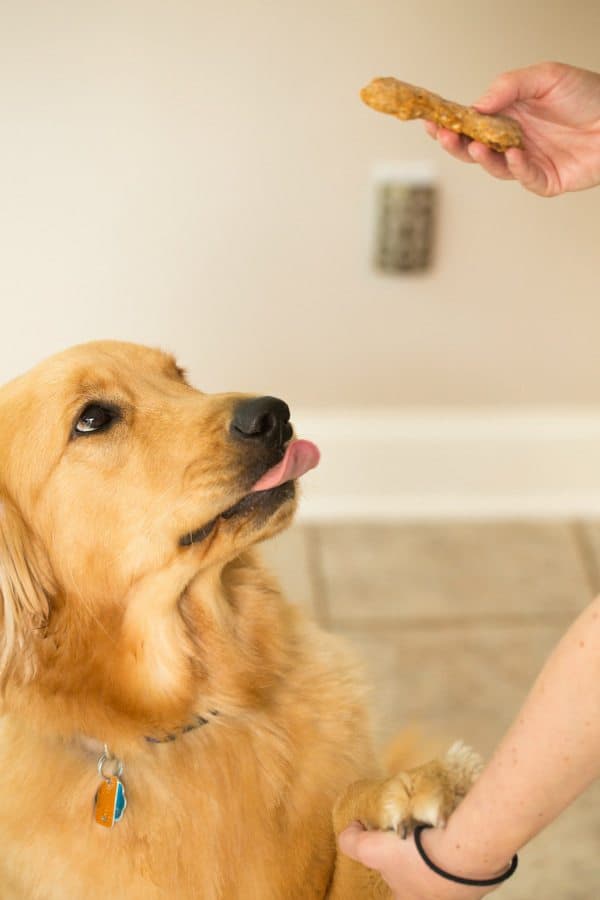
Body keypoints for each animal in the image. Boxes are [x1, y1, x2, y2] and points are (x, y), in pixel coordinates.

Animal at [0, 342, 480, 896]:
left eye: (179, 375)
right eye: (93, 418)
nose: (273, 415)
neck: (199, 709)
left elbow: (351, 817)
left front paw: (403, 788)